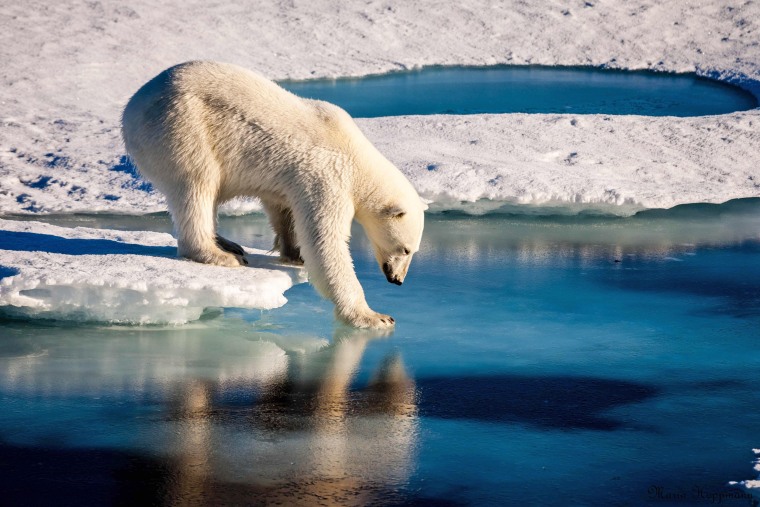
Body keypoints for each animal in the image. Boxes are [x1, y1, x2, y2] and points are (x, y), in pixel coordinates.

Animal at [121, 61, 424, 330]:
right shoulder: (328, 177)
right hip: (182, 127)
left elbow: (283, 208)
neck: (356, 158)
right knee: (197, 185)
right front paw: (374, 316)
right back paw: (219, 254)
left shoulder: (292, 180)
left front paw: (294, 253)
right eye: (405, 249)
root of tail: (131, 107)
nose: (397, 280)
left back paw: (228, 243)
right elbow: (325, 242)